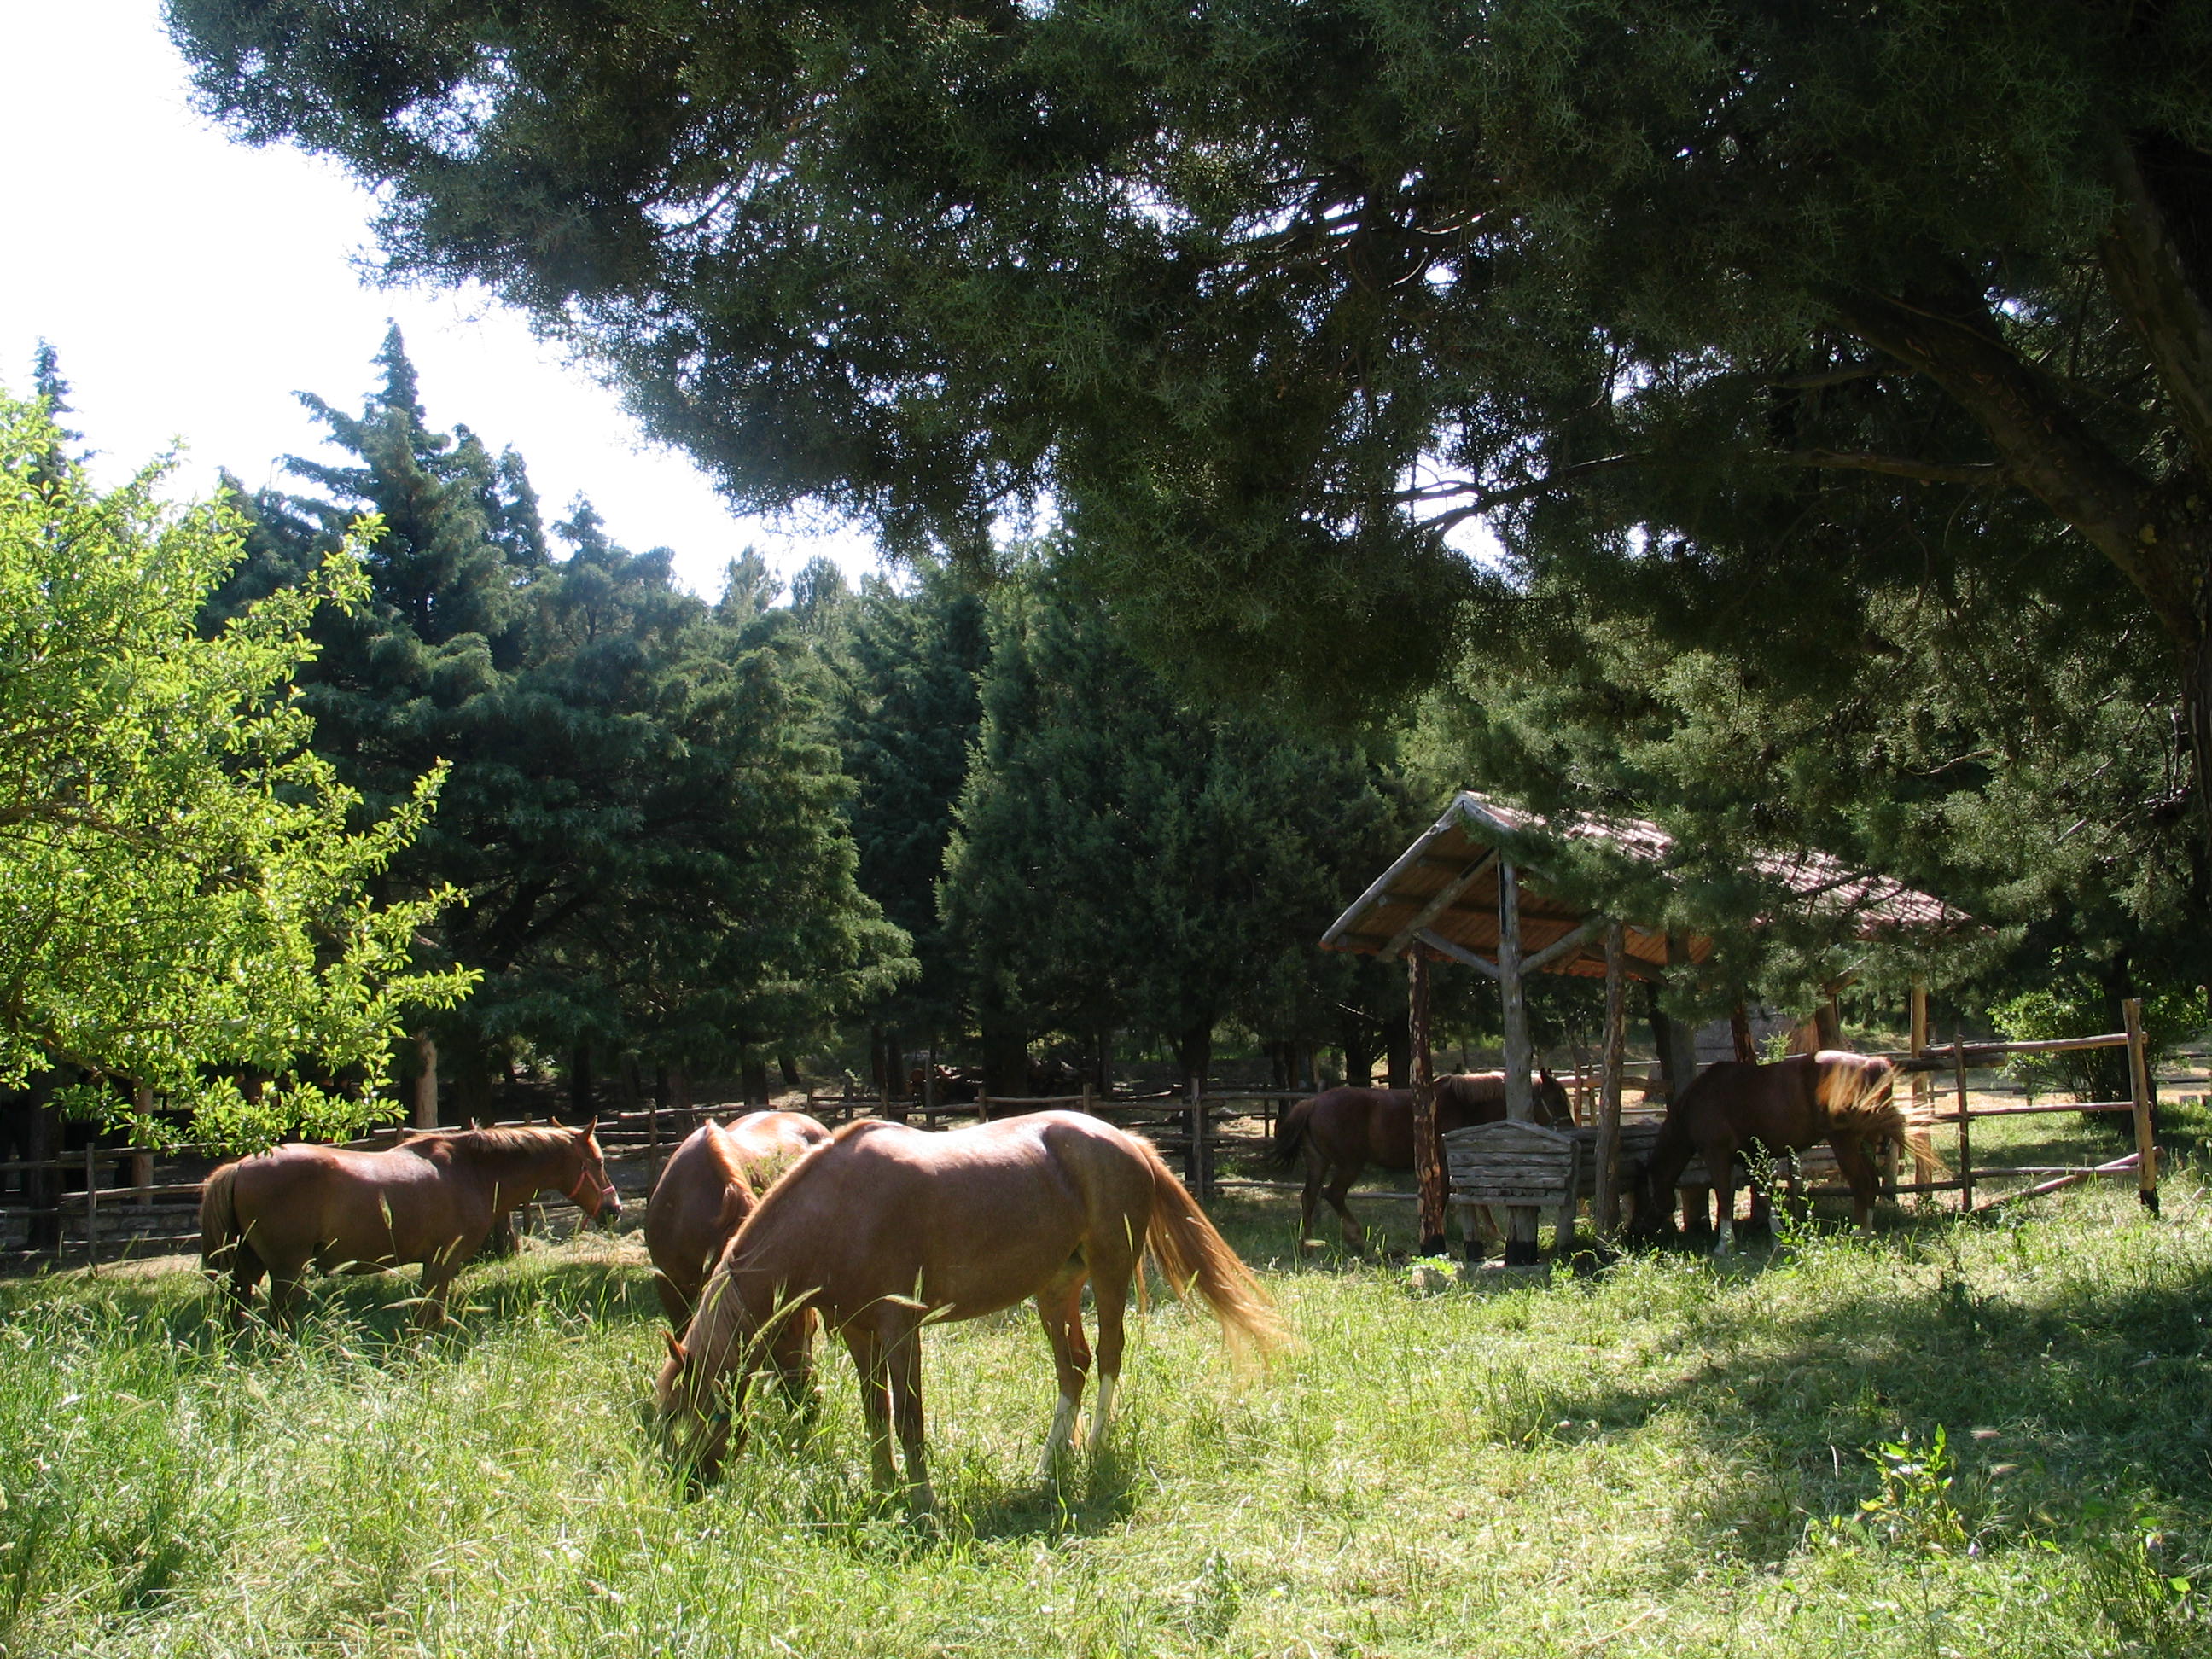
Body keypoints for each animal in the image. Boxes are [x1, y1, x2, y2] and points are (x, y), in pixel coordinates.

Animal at [199, 1123, 619, 1336]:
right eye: (597, 1163)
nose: (612, 1210)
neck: (472, 1171)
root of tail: (241, 1166)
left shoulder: (435, 1265)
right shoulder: (442, 1262)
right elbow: (428, 1318)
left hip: (249, 1268)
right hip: (286, 1271)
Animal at [1273, 1070, 1583, 1256]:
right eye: (1556, 1100)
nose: (1571, 1130)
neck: (1462, 1104)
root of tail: (1313, 1103)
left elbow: (1473, 1200)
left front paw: (1493, 1233)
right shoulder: (1446, 1164)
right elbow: (1448, 1198)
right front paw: (1435, 1238)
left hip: (1319, 1162)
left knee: (1309, 1197)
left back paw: (1309, 1245)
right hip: (1349, 1165)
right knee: (1333, 1194)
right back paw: (1357, 1239)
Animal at [1619, 1052, 1946, 1256]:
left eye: (1639, 1200)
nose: (1633, 1235)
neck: (1698, 1099)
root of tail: (1873, 1064)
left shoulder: (1718, 1155)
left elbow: (1725, 1196)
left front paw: (1724, 1244)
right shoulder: (1751, 1157)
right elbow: (1765, 1194)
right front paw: (1778, 1237)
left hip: (1844, 1141)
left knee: (1863, 1184)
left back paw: (1859, 1234)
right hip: (1862, 1141)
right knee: (1872, 1184)